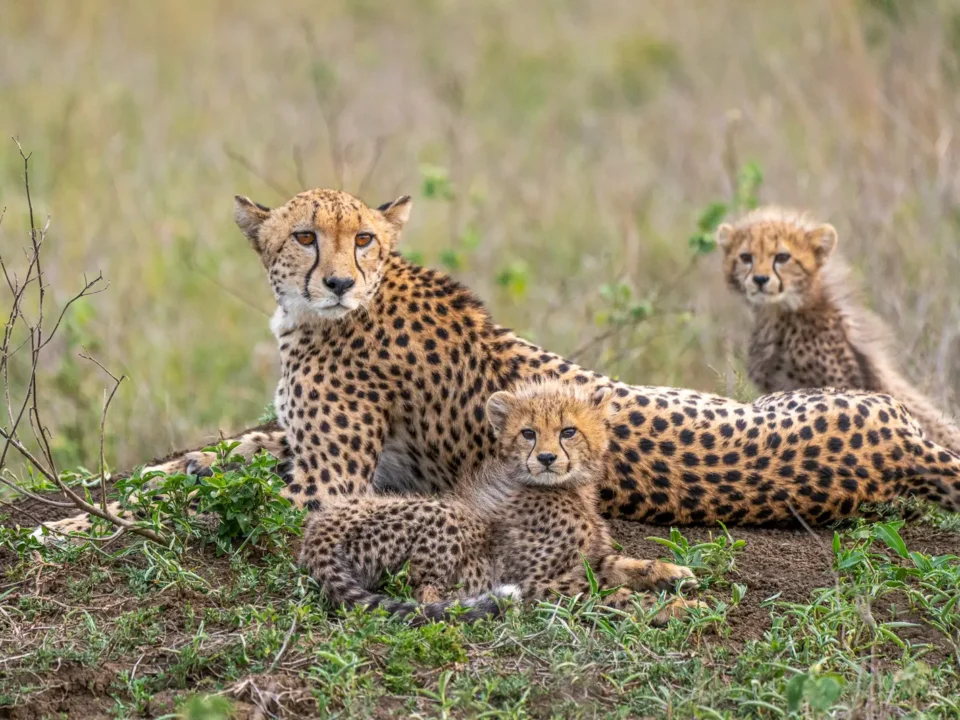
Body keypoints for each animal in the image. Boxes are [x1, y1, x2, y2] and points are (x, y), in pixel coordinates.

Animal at [299, 380, 699, 625]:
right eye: (528, 433)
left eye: (569, 431)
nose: (547, 458)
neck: (565, 488)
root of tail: (320, 526)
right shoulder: (535, 581)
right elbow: (608, 593)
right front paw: (676, 608)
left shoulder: (585, 561)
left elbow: (621, 565)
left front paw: (671, 574)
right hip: (448, 515)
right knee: (426, 595)